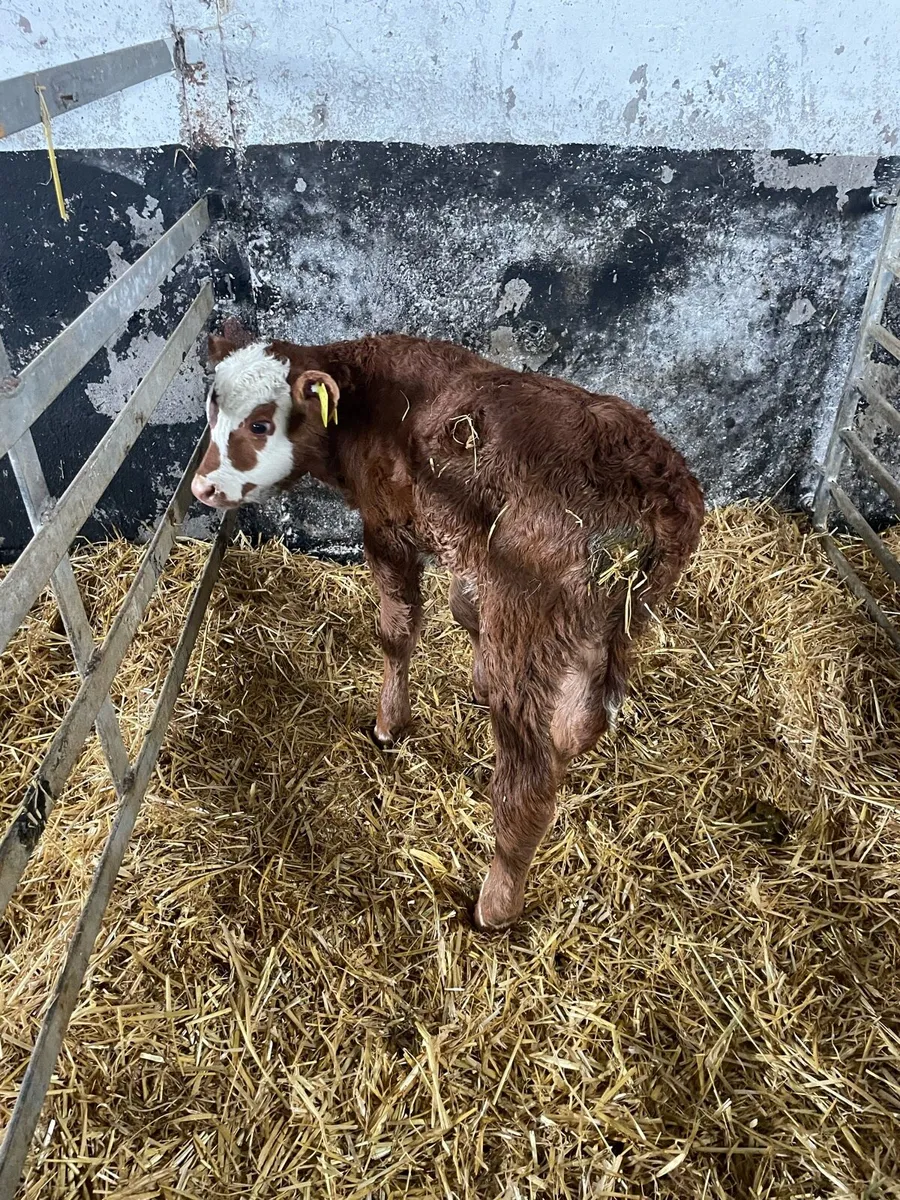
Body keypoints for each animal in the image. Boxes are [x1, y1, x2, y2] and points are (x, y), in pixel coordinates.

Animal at [191, 331, 704, 929]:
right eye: (212, 409)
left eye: (259, 424)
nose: (202, 487)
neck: (369, 403)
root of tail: (651, 482)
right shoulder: (467, 551)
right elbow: (464, 609)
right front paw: (476, 682)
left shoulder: (387, 529)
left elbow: (398, 631)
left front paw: (390, 723)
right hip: (613, 620)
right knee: (583, 719)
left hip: (528, 628)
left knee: (528, 785)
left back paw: (496, 904)